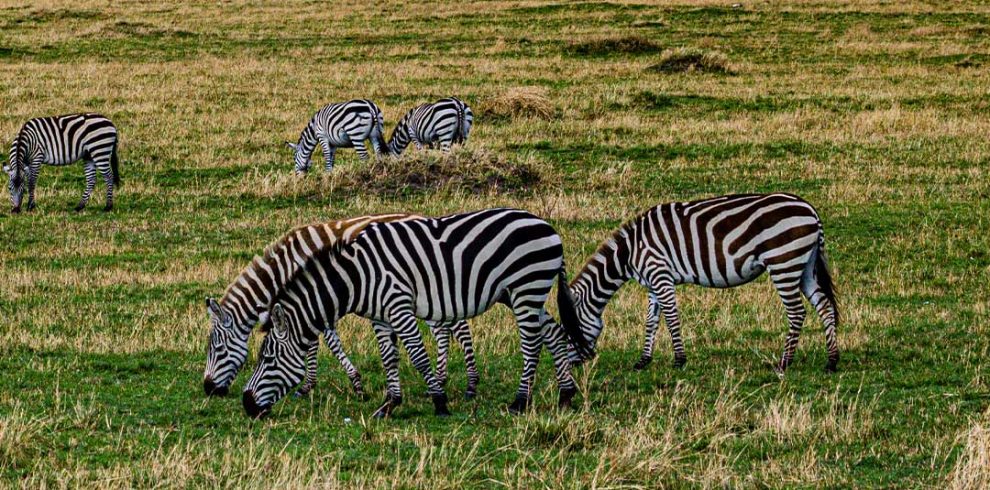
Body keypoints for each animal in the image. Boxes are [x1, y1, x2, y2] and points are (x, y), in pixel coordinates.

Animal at [202, 215, 480, 402]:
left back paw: (468, 384)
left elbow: (318, 343)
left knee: (458, 327)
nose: (208, 389)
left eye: (217, 349)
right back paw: (441, 378)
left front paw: (309, 386)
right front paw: (354, 383)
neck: (287, 265)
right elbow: (329, 341)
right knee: (443, 329)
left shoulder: (313, 297)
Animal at [243, 209, 592, 420]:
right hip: (525, 293)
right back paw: (565, 395)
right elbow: (389, 358)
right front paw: (389, 404)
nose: (247, 405)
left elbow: (418, 357)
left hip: (526, 288)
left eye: (267, 360)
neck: (358, 277)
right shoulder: (380, 316)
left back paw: (520, 401)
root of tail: (549, 228)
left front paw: (439, 401)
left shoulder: (398, 306)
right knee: (554, 333)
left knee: (532, 343)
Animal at [568, 193, 840, 374]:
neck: (629, 251)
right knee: (824, 306)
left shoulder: (660, 275)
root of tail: (811, 210)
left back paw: (784, 363)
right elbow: (651, 322)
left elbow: (671, 318)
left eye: (568, 333)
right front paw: (643, 361)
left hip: (784, 262)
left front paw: (679, 360)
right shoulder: (652, 283)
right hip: (804, 266)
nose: (573, 366)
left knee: (797, 312)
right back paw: (831, 361)